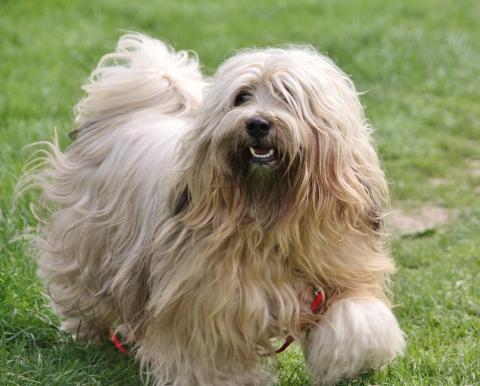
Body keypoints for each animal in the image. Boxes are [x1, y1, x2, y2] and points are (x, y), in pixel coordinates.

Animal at [27, 34, 404, 386]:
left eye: (287, 96)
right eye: (242, 97)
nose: (257, 124)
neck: (271, 210)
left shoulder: (340, 267)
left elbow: (359, 318)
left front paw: (346, 358)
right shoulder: (207, 300)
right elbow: (209, 351)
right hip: (89, 241)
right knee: (82, 289)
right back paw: (87, 332)